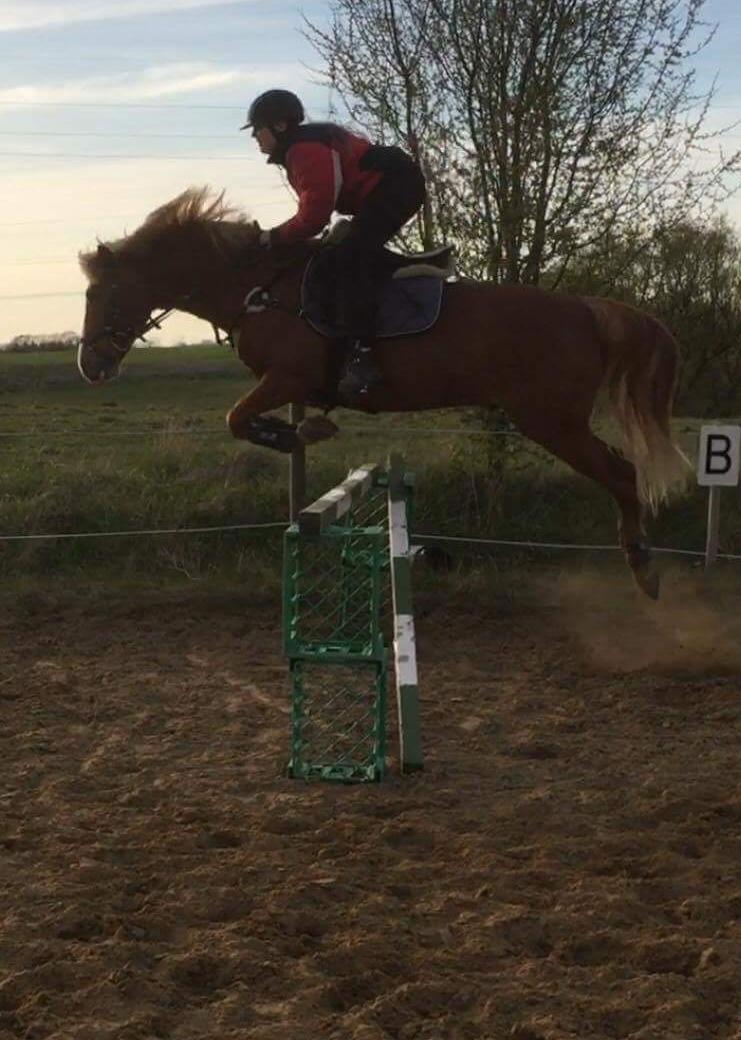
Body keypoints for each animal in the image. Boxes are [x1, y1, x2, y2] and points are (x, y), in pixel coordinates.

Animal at [78, 185, 691, 594]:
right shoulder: (285, 384)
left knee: (622, 473)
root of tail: (589, 308)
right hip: (552, 420)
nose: (90, 365)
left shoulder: (289, 377)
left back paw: (644, 566)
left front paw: (301, 431)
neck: (257, 286)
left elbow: (236, 417)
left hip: (551, 420)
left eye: (103, 297)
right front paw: (304, 430)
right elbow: (243, 420)